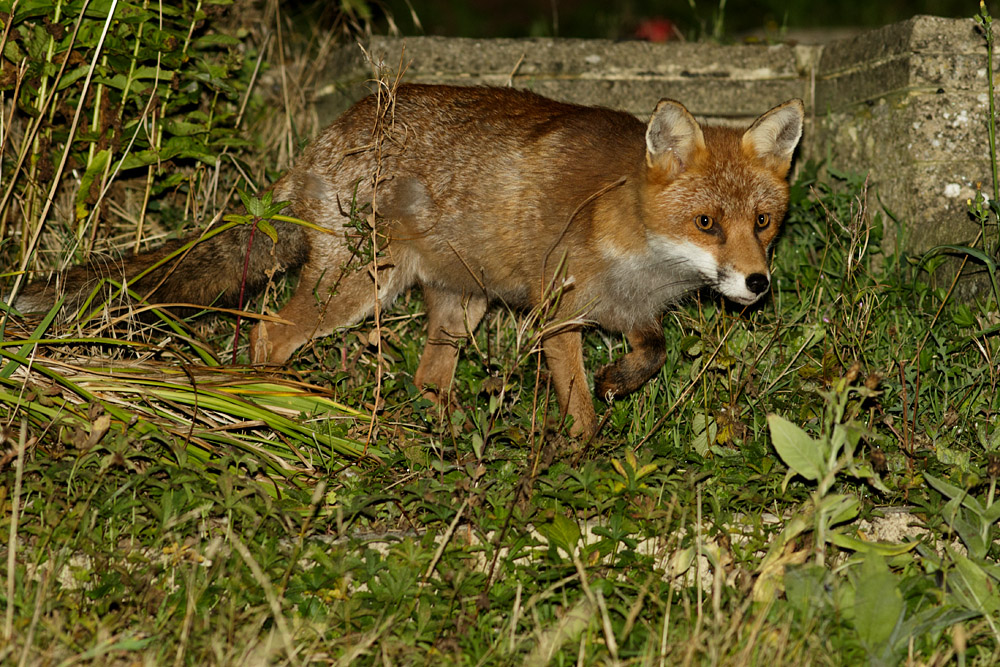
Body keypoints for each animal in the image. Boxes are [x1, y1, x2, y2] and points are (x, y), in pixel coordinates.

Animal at [9, 84, 804, 439]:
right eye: (706, 223)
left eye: (762, 223)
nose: (758, 282)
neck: (642, 251)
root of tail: (330, 132)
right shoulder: (556, 313)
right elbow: (577, 400)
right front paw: (582, 448)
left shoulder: (632, 312)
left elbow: (652, 353)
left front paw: (618, 383)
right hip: (362, 288)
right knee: (270, 330)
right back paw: (278, 402)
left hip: (461, 302)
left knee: (427, 379)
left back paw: (449, 432)